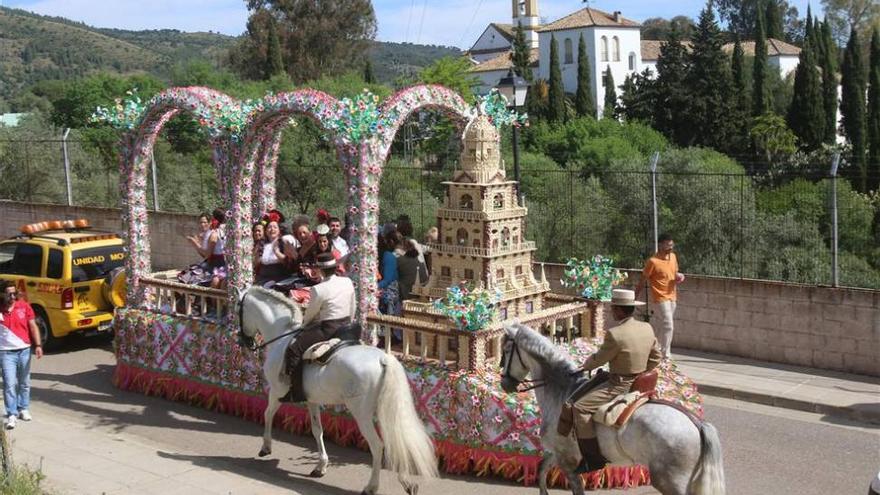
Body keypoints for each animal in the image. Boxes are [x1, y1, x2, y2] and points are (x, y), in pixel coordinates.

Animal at [239, 284, 438, 494]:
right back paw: (407, 483)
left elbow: (267, 414)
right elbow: (317, 430)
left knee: (378, 446)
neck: (282, 338)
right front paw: (320, 466)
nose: (244, 341)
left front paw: (266, 447)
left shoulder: (277, 392)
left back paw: (371, 486)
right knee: (396, 439)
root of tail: (383, 358)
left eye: (238, 308)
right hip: (386, 409)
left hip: (362, 414)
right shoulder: (312, 400)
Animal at [498, 324, 724, 495]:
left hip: (670, 481)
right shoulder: (561, 454)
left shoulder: (567, 460)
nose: (505, 384)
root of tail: (696, 423)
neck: (562, 389)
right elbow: (543, 469)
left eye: (506, 350)